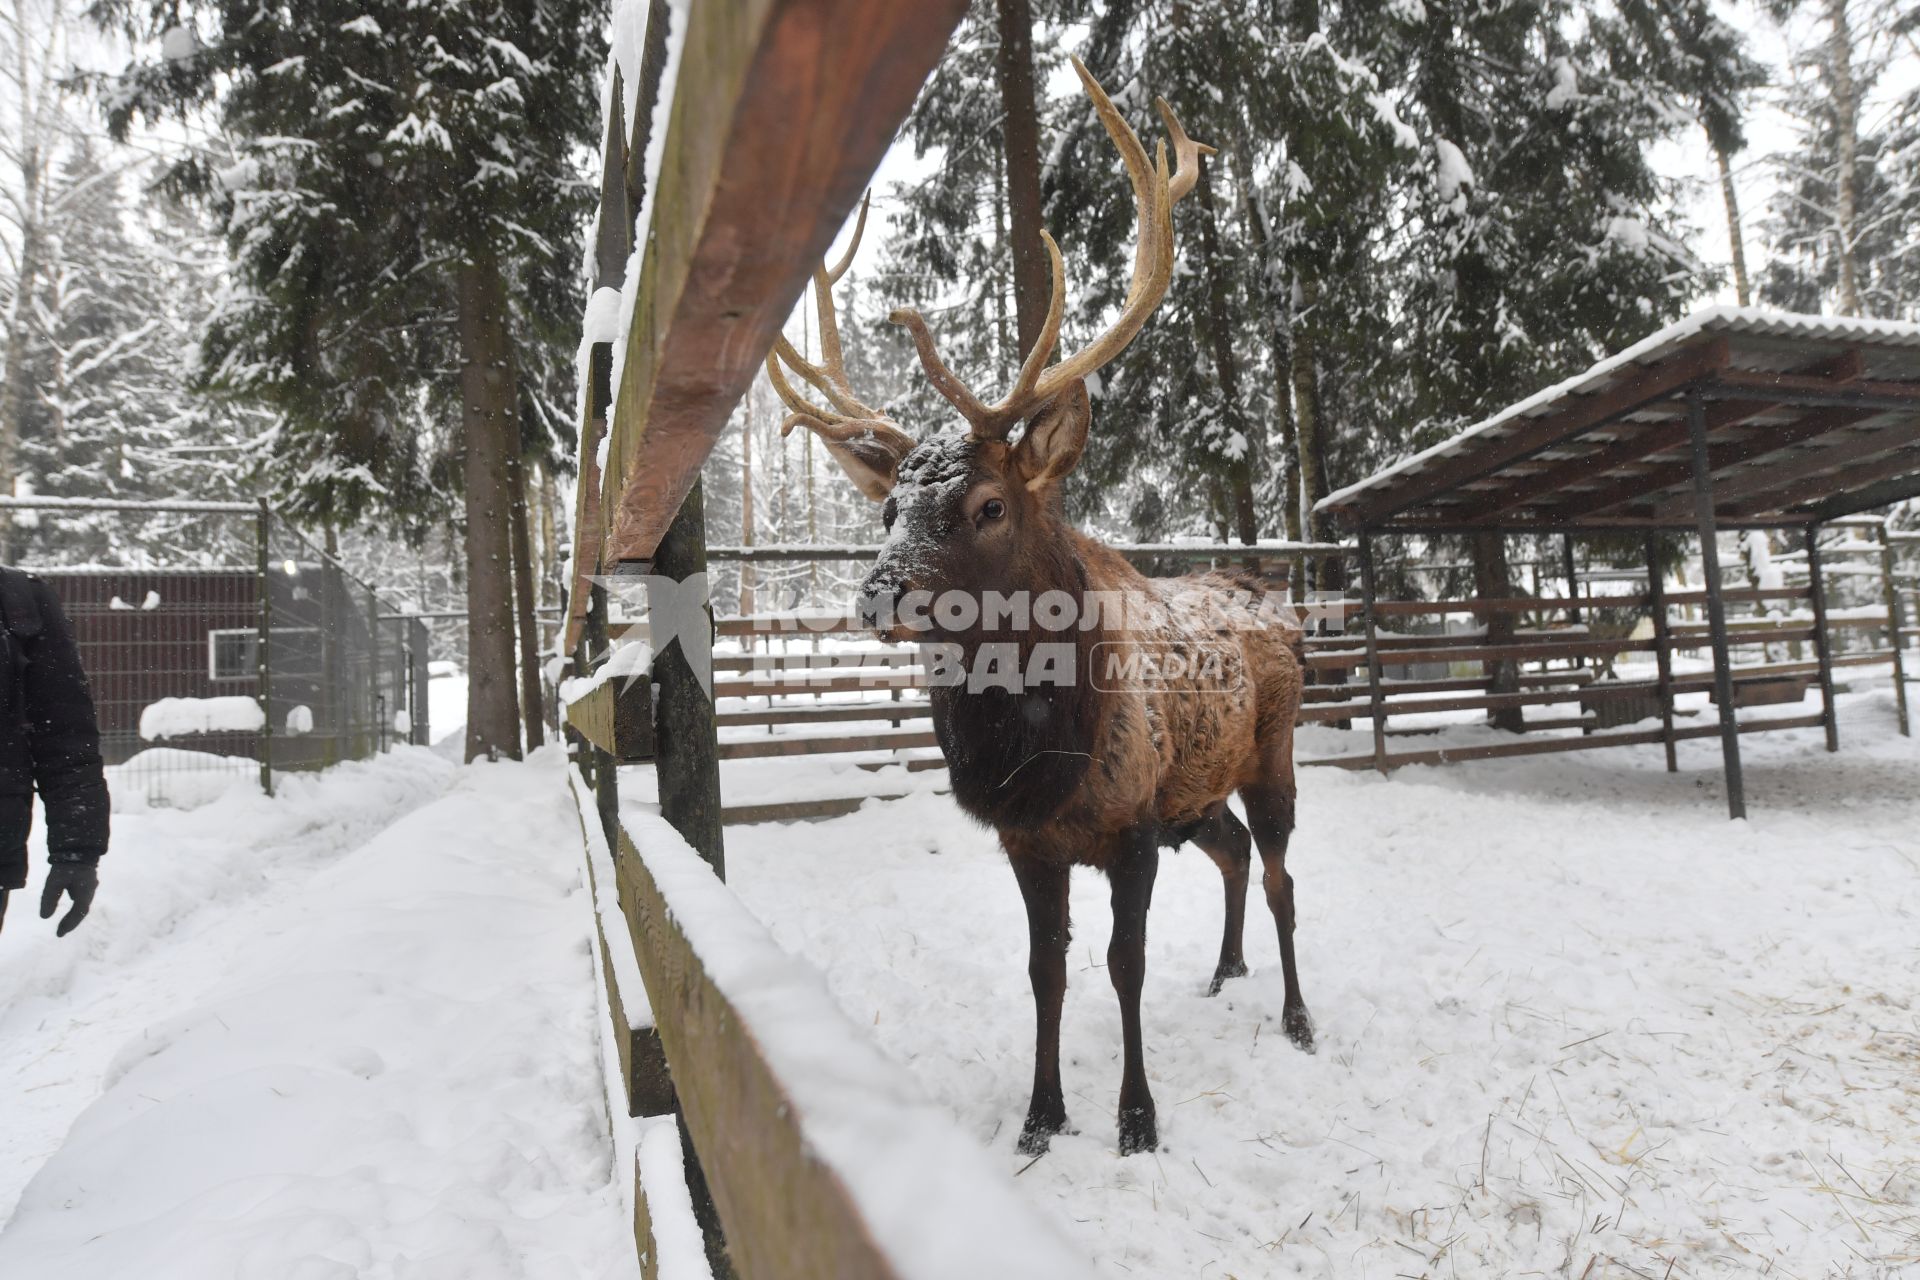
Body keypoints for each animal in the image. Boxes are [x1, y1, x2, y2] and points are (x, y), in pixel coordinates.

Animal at [771, 59, 1313, 1159]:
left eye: (988, 503)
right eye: (887, 508)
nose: (878, 592)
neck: (1034, 759)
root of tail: (1267, 593)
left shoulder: (1133, 824)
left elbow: (1122, 966)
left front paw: (1137, 1119)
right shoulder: (1031, 841)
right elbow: (1045, 971)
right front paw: (1039, 1116)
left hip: (1273, 749)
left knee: (1282, 873)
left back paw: (1295, 1013)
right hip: (1199, 790)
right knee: (1235, 853)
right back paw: (1227, 968)